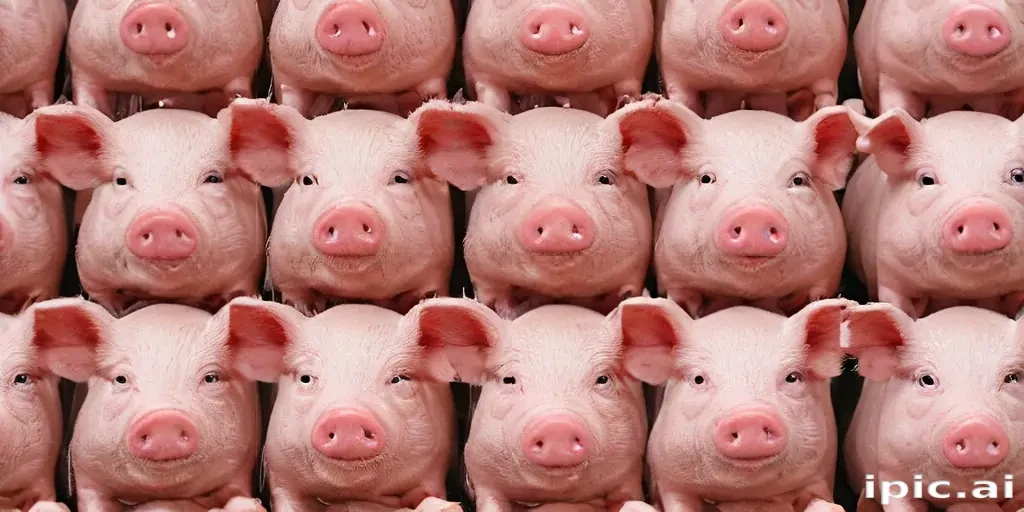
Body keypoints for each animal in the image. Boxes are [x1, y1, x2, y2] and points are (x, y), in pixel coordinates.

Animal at [222, 98, 471, 316]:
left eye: (400, 178)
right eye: (307, 180)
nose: (347, 212)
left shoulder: (437, 270)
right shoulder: (286, 270)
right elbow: (297, 296)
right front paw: (307, 312)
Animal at [461, 0, 653, 116]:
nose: (554, 13)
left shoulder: (633, 67)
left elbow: (627, 89)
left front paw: (629, 102)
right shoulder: (482, 70)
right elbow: (492, 99)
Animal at [619, 297, 850, 511]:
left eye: (792, 377)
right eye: (698, 379)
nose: (750, 417)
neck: (744, 495)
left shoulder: (820, 474)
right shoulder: (669, 479)